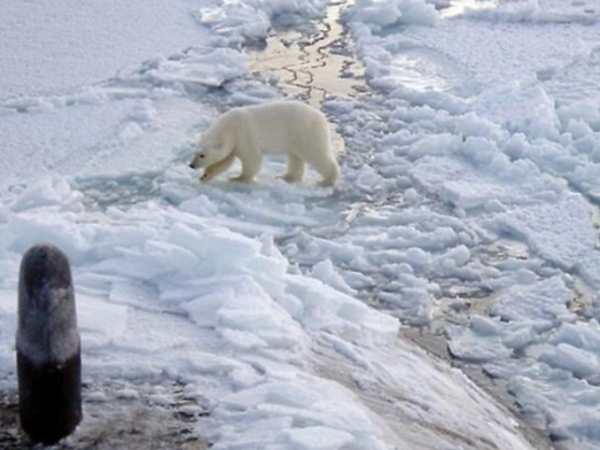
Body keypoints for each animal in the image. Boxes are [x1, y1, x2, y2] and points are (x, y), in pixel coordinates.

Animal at [189, 100, 338, 186]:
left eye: (202, 155)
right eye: (195, 153)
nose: (191, 165)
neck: (230, 126)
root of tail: (322, 118)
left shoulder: (244, 136)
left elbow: (252, 158)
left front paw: (238, 178)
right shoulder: (233, 143)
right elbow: (224, 161)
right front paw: (205, 176)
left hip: (306, 133)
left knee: (316, 154)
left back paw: (326, 181)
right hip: (296, 138)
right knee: (295, 157)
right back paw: (287, 177)